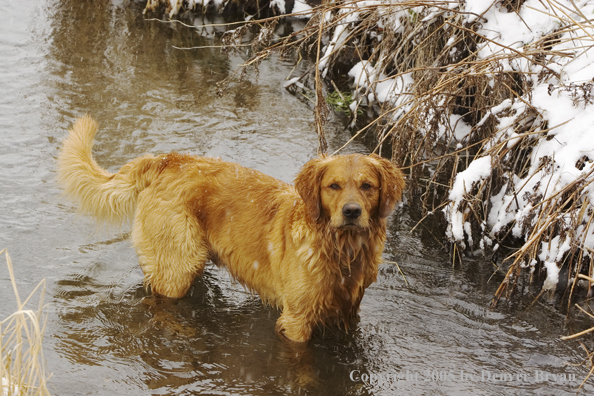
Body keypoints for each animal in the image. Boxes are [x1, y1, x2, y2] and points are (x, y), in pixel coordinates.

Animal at [57, 116, 404, 342]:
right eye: (333, 186)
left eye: (367, 186)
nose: (351, 211)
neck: (341, 250)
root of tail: (165, 160)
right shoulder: (297, 319)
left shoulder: (348, 312)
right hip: (177, 268)